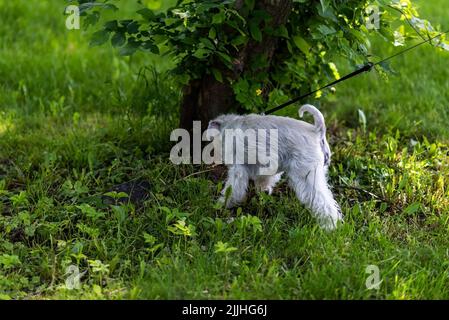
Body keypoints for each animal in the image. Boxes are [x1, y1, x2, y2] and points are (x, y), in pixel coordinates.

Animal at [208, 104, 342, 229]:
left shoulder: (238, 169)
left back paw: (329, 226)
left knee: (324, 203)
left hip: (306, 176)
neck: (230, 126)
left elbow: (232, 189)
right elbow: (264, 180)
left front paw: (222, 203)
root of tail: (317, 130)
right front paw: (263, 192)